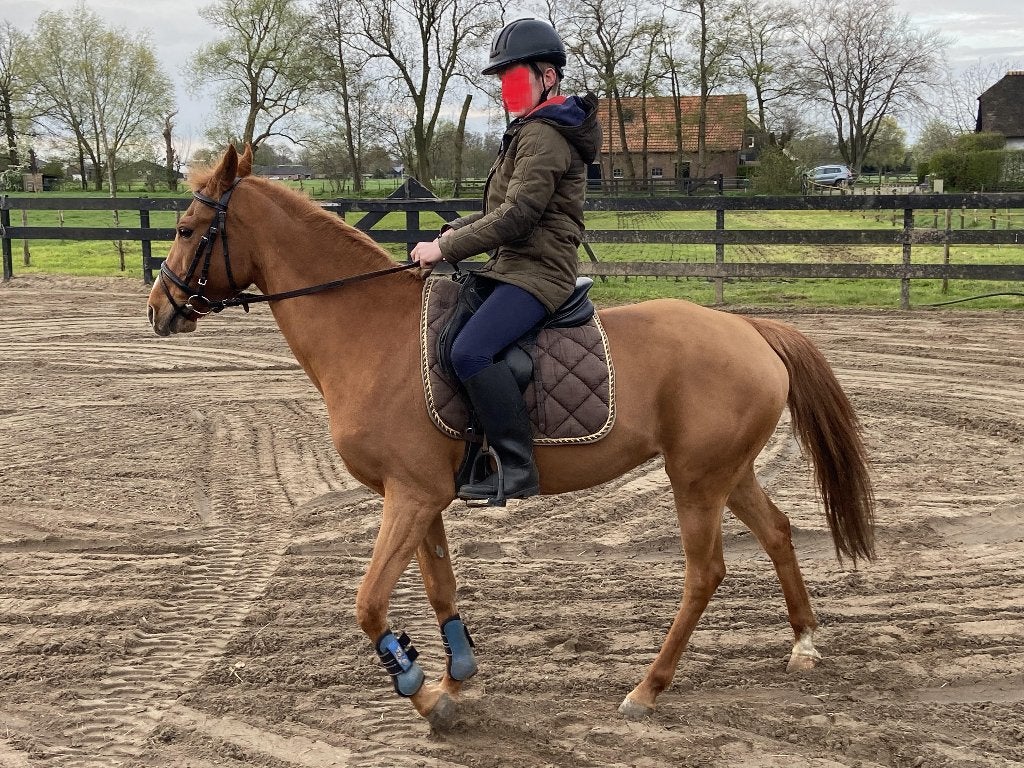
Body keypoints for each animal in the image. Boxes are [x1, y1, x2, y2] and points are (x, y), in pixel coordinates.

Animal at [147, 145, 875, 727]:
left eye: (185, 228)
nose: (158, 309)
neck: (369, 330)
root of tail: (750, 329)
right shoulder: (421, 499)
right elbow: (440, 588)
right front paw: (455, 676)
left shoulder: (410, 497)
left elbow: (370, 603)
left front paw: (422, 693)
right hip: (728, 472)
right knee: (777, 531)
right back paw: (803, 643)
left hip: (696, 481)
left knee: (705, 573)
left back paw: (648, 687)